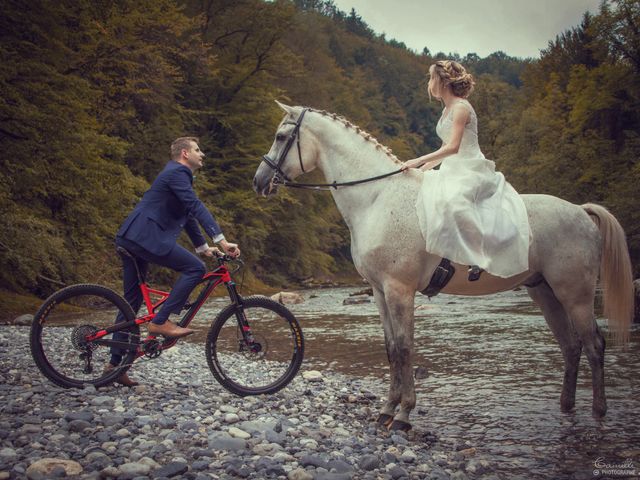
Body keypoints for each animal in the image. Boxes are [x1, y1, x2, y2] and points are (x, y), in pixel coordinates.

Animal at [252, 102, 632, 432]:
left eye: (282, 137)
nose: (259, 181)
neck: (378, 197)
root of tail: (581, 211)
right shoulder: (379, 291)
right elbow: (391, 349)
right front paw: (386, 410)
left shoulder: (399, 289)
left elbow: (405, 348)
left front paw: (403, 414)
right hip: (545, 292)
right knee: (571, 346)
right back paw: (566, 408)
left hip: (576, 294)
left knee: (594, 345)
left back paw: (599, 412)